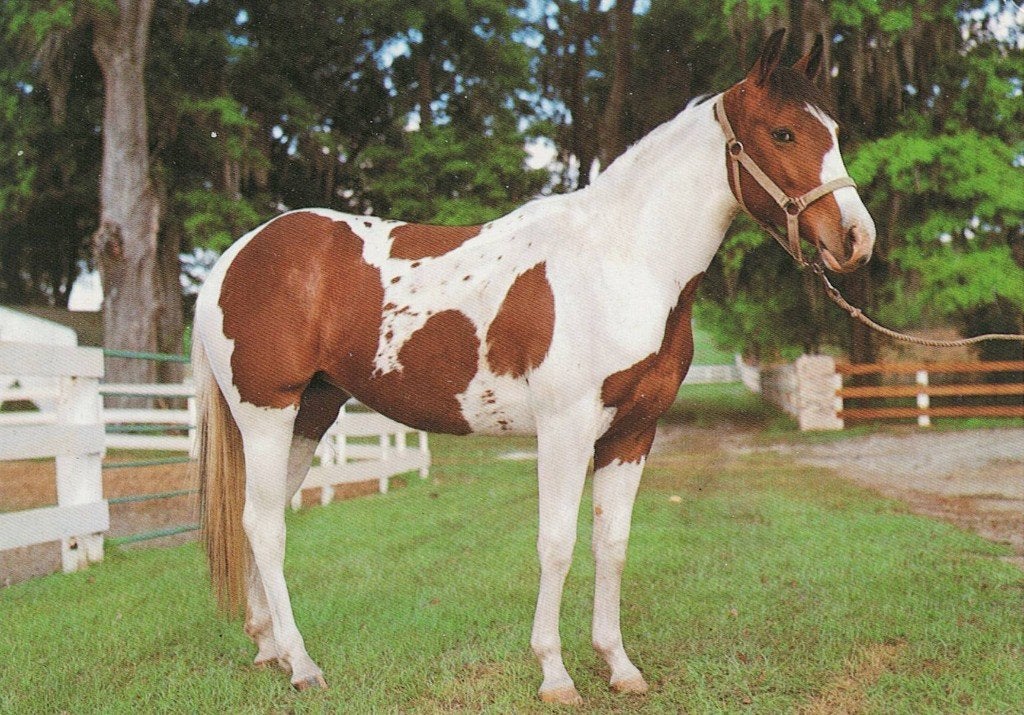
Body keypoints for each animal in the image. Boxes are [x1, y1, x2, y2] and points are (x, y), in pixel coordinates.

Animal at [191, 29, 876, 704]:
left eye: (834, 130)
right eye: (783, 133)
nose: (856, 239)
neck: (623, 260)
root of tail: (231, 259)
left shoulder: (633, 432)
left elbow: (612, 544)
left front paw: (619, 665)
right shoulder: (565, 428)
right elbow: (557, 544)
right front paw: (555, 674)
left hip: (310, 414)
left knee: (260, 519)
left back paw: (270, 649)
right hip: (268, 413)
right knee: (265, 526)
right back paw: (303, 665)